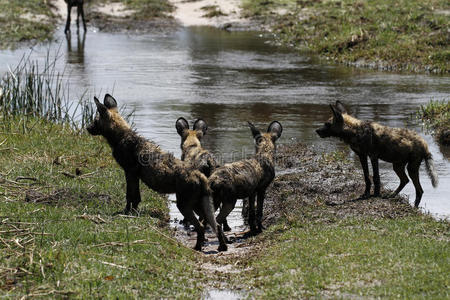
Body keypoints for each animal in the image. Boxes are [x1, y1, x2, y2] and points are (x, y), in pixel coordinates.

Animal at [87, 95, 229, 252]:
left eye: (95, 121)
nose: (87, 128)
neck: (122, 136)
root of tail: (200, 175)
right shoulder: (134, 176)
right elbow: (136, 198)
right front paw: (133, 213)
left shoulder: (130, 173)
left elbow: (130, 197)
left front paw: (127, 213)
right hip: (199, 205)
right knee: (216, 224)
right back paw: (221, 247)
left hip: (185, 205)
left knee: (200, 227)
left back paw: (198, 247)